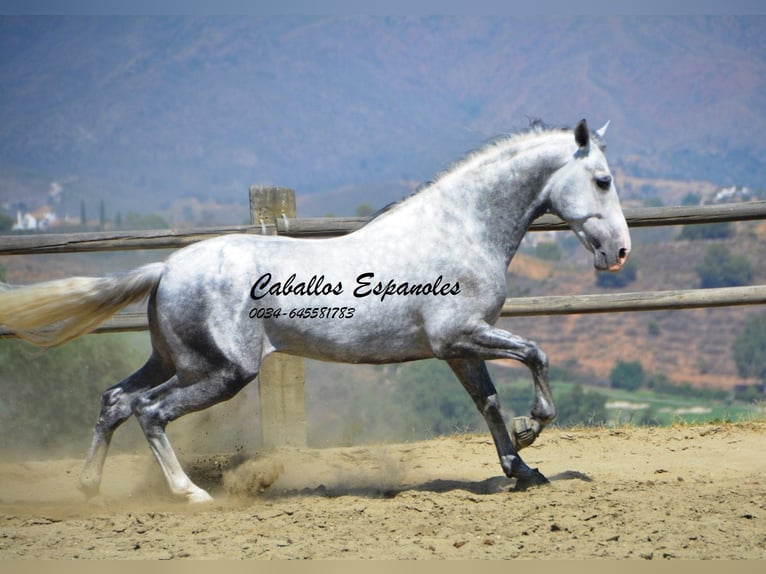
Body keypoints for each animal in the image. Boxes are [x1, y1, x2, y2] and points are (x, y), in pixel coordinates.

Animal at [0, 120, 632, 504]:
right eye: (602, 180)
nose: (619, 253)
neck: (459, 231)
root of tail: (167, 268)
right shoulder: (462, 336)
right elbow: (535, 355)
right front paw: (533, 429)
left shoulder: (457, 348)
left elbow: (489, 403)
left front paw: (522, 470)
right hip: (222, 372)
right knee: (150, 412)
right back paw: (190, 495)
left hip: (175, 360)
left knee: (116, 401)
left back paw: (88, 487)